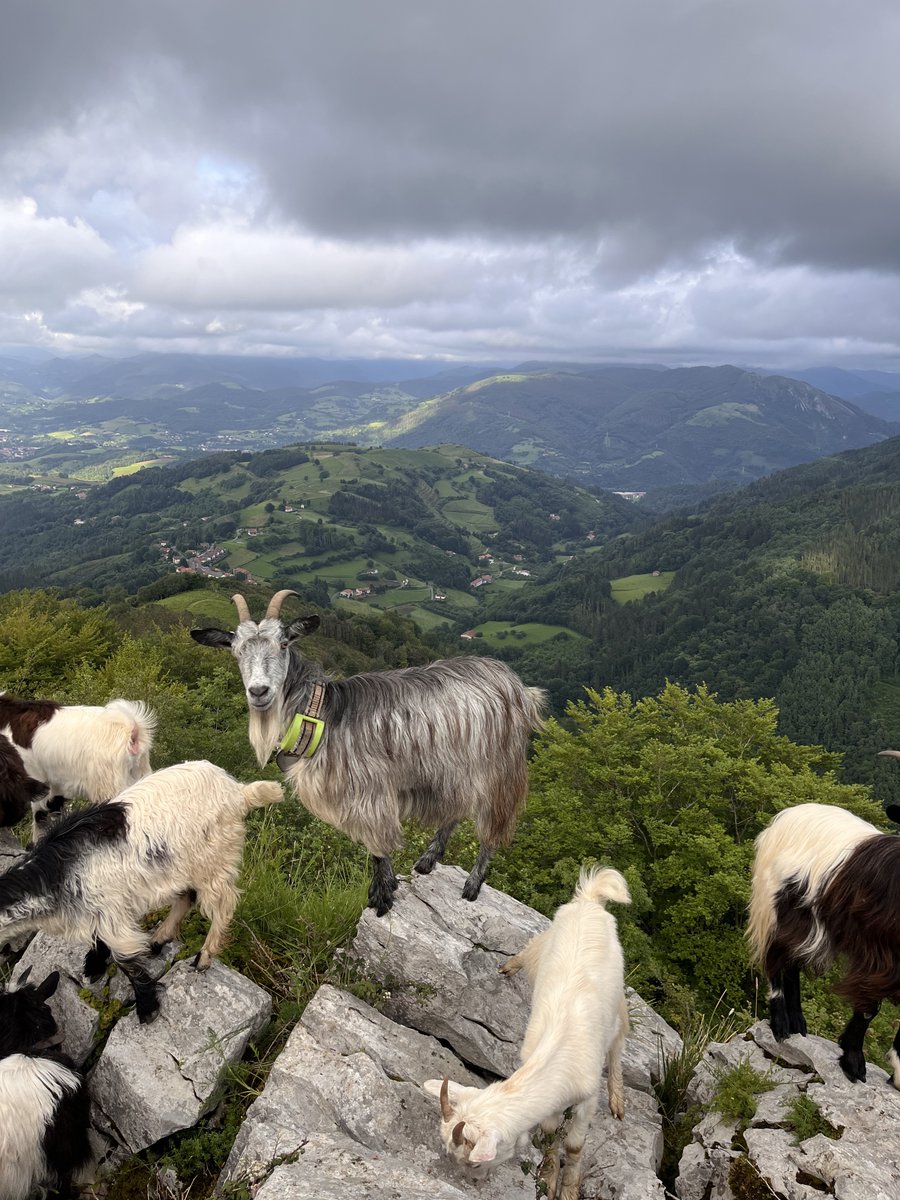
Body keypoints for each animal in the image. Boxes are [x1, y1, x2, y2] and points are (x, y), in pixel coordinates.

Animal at [0, 760, 283, 1023]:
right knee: (187, 897)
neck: (57, 872)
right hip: (182, 866)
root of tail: (239, 793)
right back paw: (158, 939)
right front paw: (94, 965)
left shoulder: (111, 914)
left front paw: (147, 1008)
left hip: (214, 859)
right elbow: (99, 939)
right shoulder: (102, 910)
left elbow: (125, 959)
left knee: (224, 904)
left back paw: (203, 958)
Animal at [191, 590, 546, 915]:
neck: (321, 714)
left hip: (500, 766)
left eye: (284, 644)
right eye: (236, 651)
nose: (259, 691)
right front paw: (386, 888)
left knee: (494, 821)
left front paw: (382, 895)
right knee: (456, 807)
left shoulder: (370, 792)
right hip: (454, 769)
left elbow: (378, 845)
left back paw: (473, 882)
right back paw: (429, 858)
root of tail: (520, 688)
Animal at [424, 867, 631, 1199]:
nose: (473, 1181)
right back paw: (509, 965)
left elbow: (574, 1145)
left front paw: (568, 1189)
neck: (557, 1053)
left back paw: (617, 1098)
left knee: (618, 1038)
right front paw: (547, 1177)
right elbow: (548, 1133)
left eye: (474, 1161)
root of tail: (589, 901)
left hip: (617, 991)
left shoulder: (587, 1098)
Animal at [747, 800, 900, 1087]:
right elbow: (868, 1009)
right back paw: (780, 1023)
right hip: (780, 908)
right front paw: (853, 1062)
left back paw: (797, 1021)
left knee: (791, 961)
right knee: (775, 957)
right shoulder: (881, 958)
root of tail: (784, 817)